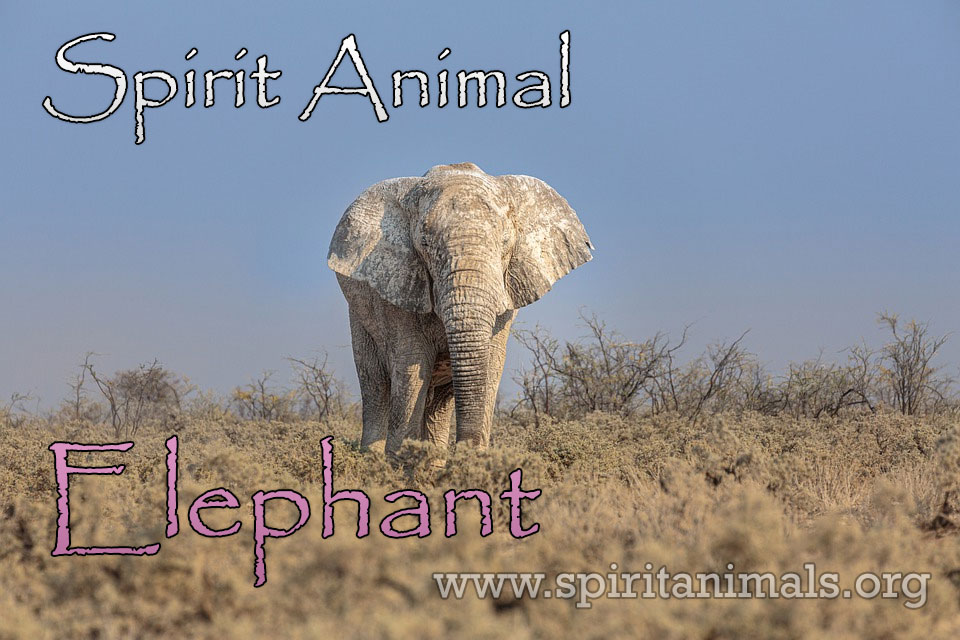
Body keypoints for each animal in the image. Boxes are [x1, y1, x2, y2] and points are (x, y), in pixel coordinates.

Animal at [328, 162, 593, 457]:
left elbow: (491, 364)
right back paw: (371, 458)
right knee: (376, 387)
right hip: (360, 317)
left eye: (505, 241)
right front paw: (398, 462)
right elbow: (411, 366)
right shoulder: (398, 287)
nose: (467, 451)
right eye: (424, 243)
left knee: (438, 403)